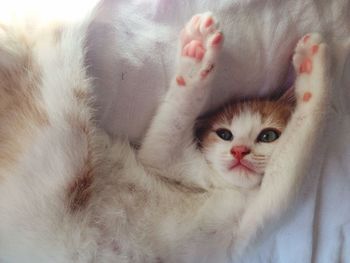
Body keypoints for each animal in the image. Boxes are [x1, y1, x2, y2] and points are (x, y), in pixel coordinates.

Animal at [0, 10, 330, 263]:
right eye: (224, 134)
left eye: (268, 135)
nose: (239, 151)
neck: (222, 187)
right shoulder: (162, 161)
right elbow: (169, 127)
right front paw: (197, 57)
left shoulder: (251, 224)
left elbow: (296, 153)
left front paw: (312, 71)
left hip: (61, 140)